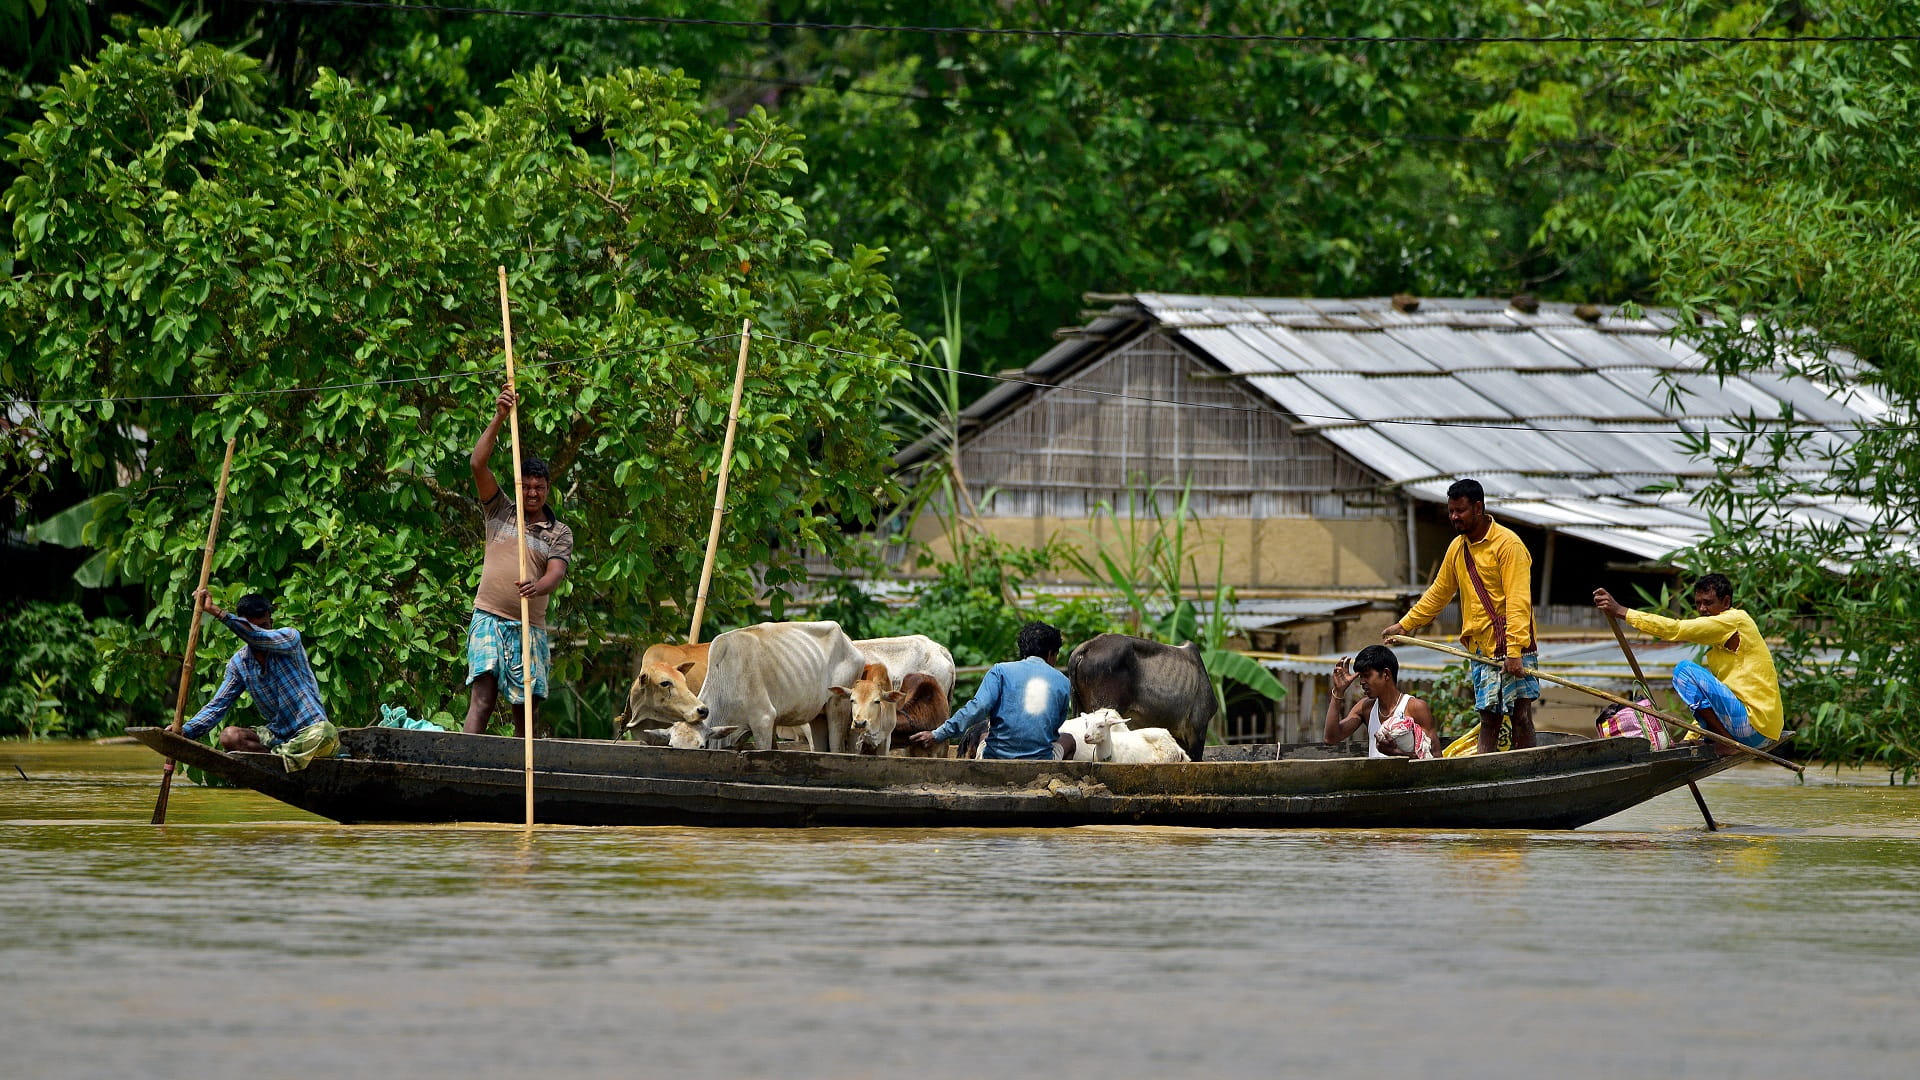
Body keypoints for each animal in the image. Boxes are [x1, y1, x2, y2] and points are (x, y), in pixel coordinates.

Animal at [702, 618, 867, 753]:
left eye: (701, 746)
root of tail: (848, 641)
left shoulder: (764, 719)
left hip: (838, 705)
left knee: (837, 748)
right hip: (818, 714)